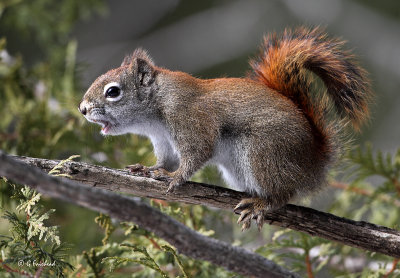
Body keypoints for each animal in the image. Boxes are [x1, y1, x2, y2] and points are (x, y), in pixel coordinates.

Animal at [79, 27, 370, 229]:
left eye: (113, 92)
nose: (82, 109)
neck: (157, 108)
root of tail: (314, 163)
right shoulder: (163, 140)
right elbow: (166, 160)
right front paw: (149, 169)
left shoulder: (190, 118)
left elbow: (198, 152)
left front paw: (175, 178)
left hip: (263, 154)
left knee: (283, 193)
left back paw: (261, 203)